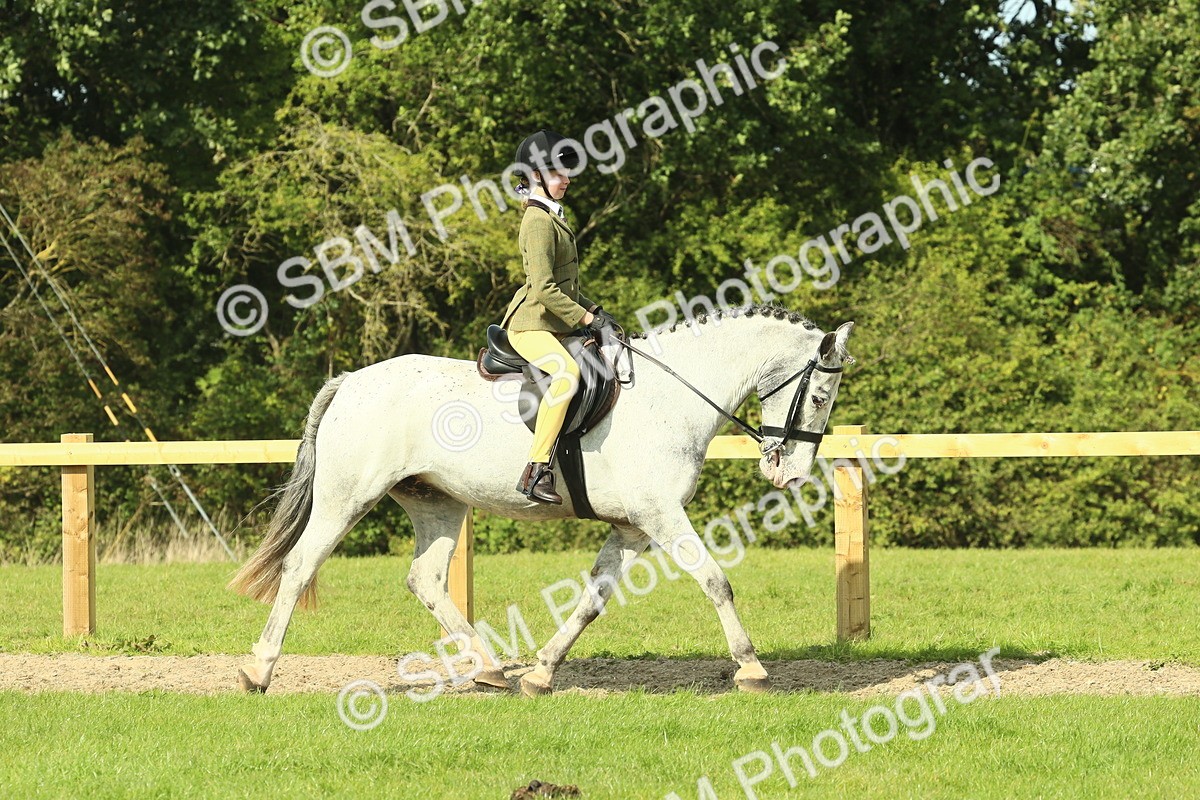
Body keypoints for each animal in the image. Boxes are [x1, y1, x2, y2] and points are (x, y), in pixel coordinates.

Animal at [229, 302, 854, 696]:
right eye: (820, 396)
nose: (791, 473)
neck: (674, 395)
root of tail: (352, 380)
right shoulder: (659, 514)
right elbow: (715, 580)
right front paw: (751, 668)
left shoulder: (632, 527)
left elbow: (591, 602)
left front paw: (541, 674)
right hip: (347, 496)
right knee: (300, 565)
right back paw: (259, 670)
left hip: (438, 503)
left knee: (425, 580)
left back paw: (491, 672)